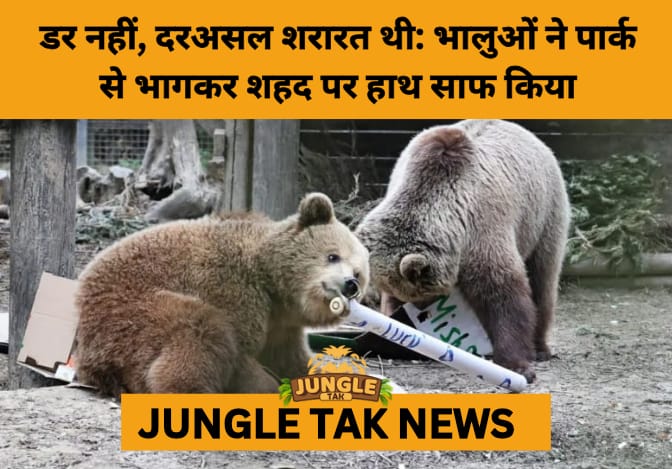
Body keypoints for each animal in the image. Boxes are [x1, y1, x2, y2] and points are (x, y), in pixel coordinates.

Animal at [74, 192, 369, 397]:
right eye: (332, 256)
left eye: (359, 274)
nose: (349, 284)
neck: (273, 286)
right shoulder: (231, 288)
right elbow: (240, 352)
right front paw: (265, 386)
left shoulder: (281, 325)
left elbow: (289, 358)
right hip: (130, 311)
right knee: (199, 330)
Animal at [354, 119, 570, 383]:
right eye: (401, 295)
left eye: (419, 294)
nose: (416, 312)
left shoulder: (482, 229)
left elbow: (503, 297)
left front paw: (517, 365)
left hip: (544, 215)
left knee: (543, 279)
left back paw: (540, 348)